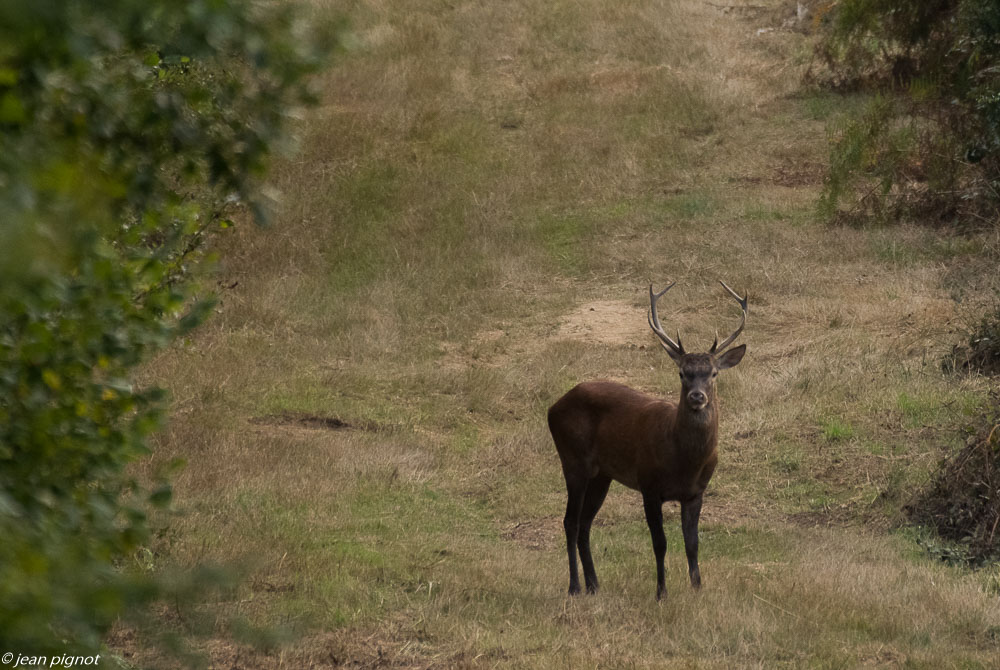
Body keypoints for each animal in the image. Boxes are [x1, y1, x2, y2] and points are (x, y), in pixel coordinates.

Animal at [548, 280, 744, 600]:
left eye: (713, 373)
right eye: (682, 373)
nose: (697, 397)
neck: (683, 460)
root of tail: (553, 407)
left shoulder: (696, 492)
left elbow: (692, 544)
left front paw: (697, 589)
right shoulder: (649, 486)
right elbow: (660, 543)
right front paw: (661, 593)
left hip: (602, 474)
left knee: (586, 524)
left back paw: (594, 584)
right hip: (572, 459)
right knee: (570, 521)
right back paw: (575, 587)